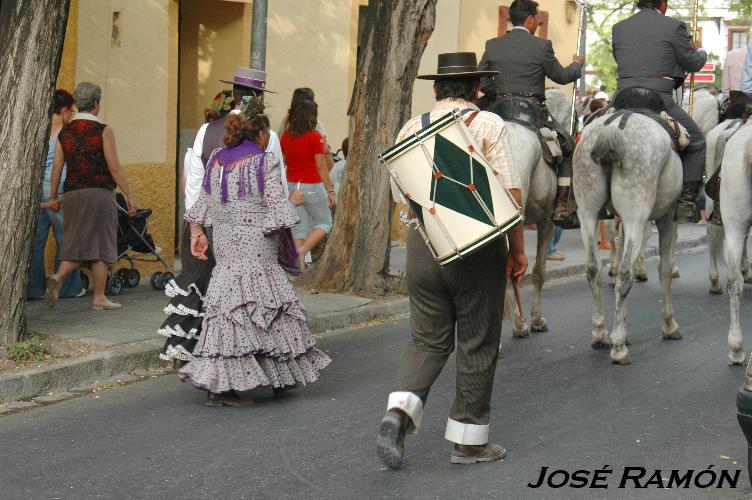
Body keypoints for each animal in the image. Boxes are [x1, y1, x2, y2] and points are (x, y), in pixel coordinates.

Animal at [572, 112, 684, 364]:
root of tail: (613, 126)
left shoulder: (621, 222)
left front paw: (622, 328)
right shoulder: (667, 219)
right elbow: (665, 269)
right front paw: (669, 324)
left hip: (587, 211)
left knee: (593, 268)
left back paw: (600, 334)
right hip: (636, 215)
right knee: (624, 274)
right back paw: (619, 348)